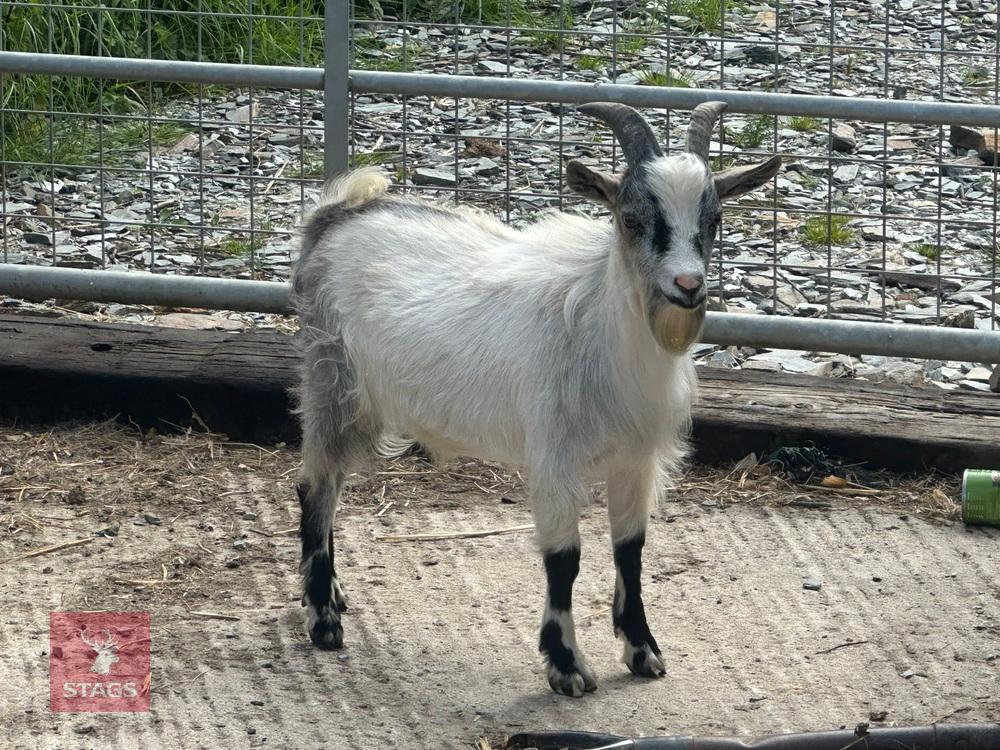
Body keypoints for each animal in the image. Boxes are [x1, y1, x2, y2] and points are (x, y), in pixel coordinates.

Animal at [292, 101, 781, 697]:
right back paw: (323, 620)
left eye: (714, 220)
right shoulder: (554, 458)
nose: (688, 286)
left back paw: (331, 595)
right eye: (631, 219)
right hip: (332, 380)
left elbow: (631, 550)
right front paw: (567, 665)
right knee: (316, 487)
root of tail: (336, 215)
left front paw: (642, 649)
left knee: (333, 484)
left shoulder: (637, 459)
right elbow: (564, 560)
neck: (602, 332)